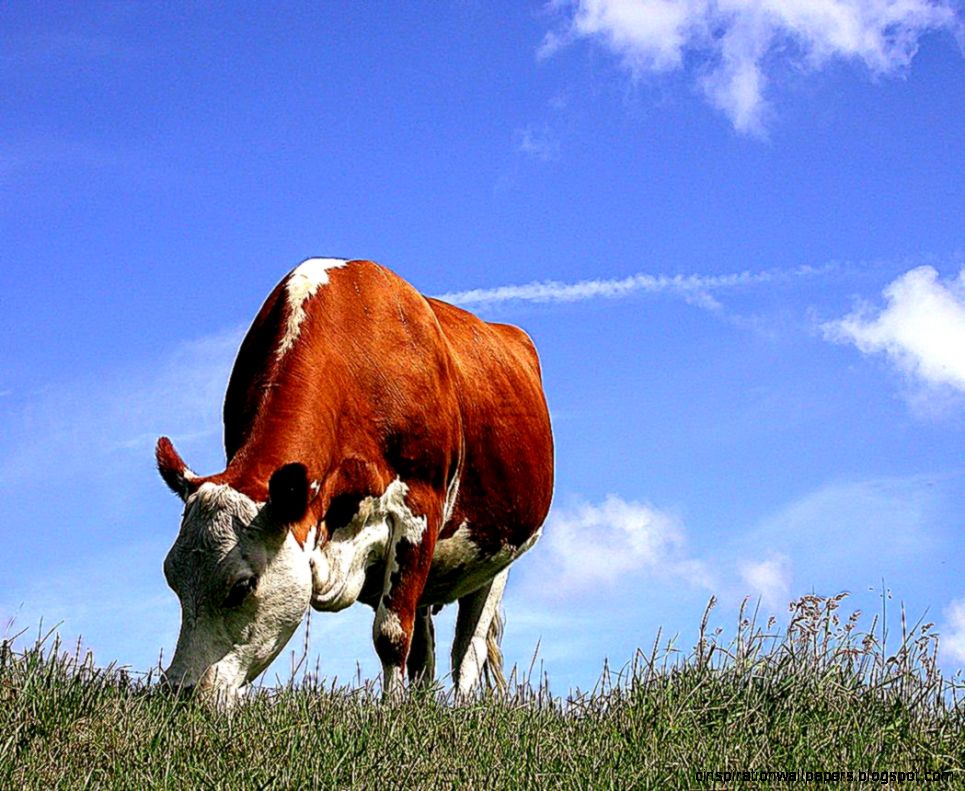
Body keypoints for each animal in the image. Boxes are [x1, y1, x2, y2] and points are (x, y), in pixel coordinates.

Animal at [156, 258, 553, 706]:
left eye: (242, 586)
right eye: (172, 577)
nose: (179, 692)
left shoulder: (418, 512)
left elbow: (392, 635)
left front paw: (391, 711)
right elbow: (411, 644)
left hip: (499, 556)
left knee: (467, 649)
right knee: (427, 651)